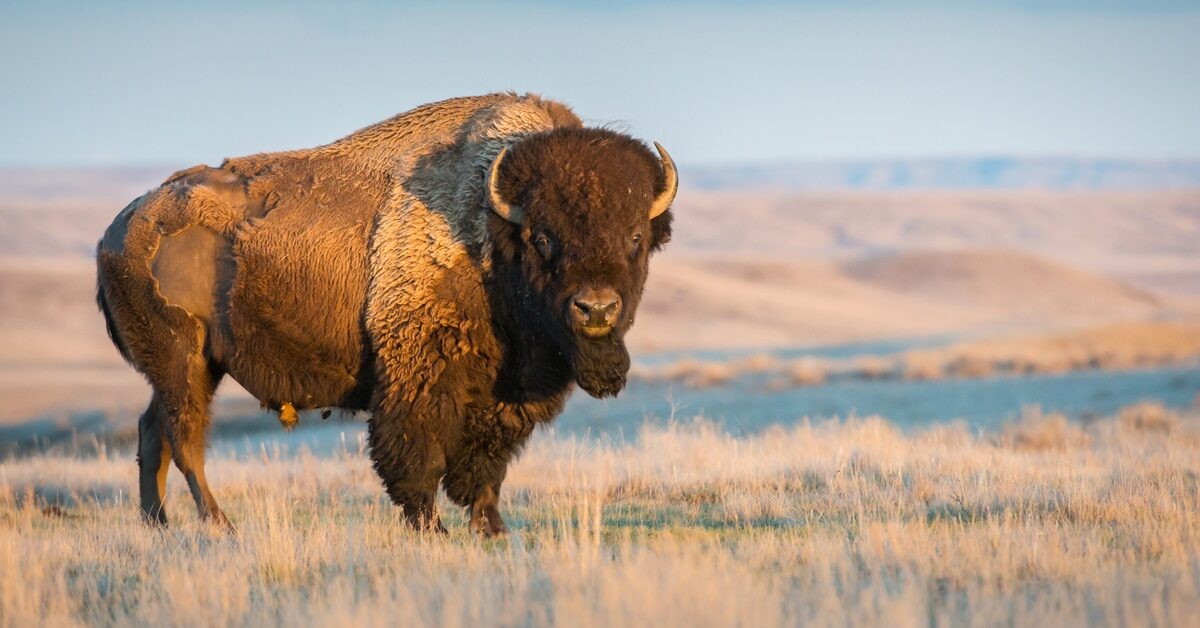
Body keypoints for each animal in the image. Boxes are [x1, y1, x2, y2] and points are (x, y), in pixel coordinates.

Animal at [96, 93, 676, 535]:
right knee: (184, 438)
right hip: (184, 360)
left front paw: (491, 528)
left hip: (190, 367)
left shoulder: (505, 396)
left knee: (153, 431)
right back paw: (220, 525)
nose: (596, 309)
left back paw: (158, 524)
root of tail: (119, 229)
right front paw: (433, 529)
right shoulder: (418, 375)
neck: (489, 230)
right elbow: (417, 456)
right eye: (542, 237)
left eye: (635, 237)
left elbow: (487, 464)